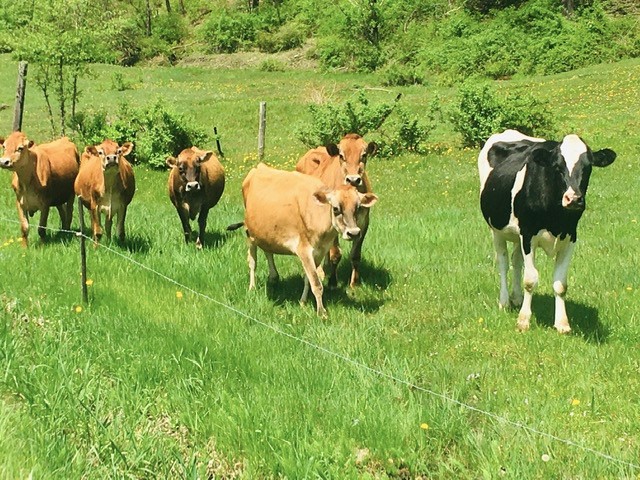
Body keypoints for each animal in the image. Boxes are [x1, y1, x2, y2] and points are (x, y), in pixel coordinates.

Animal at [231, 163, 378, 316]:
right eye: (336, 208)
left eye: (358, 207)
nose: (354, 233)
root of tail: (259, 167)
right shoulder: (303, 250)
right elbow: (316, 283)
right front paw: (321, 312)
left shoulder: (319, 251)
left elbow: (309, 279)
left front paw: (303, 302)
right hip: (250, 234)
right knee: (252, 262)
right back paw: (252, 287)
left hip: (266, 233)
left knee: (268, 251)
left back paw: (273, 277)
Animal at [295, 133, 377, 288]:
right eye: (341, 155)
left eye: (364, 155)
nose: (353, 179)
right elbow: (336, 254)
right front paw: (333, 282)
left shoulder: (364, 223)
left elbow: (355, 255)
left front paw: (354, 284)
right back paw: (320, 272)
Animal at [478, 129, 616, 333]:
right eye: (557, 167)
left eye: (588, 167)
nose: (573, 198)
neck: (556, 218)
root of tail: (508, 132)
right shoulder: (528, 235)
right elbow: (530, 280)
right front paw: (523, 321)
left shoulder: (570, 237)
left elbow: (560, 284)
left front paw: (562, 324)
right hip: (496, 229)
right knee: (503, 262)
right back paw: (504, 302)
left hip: (517, 234)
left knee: (516, 261)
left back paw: (517, 298)